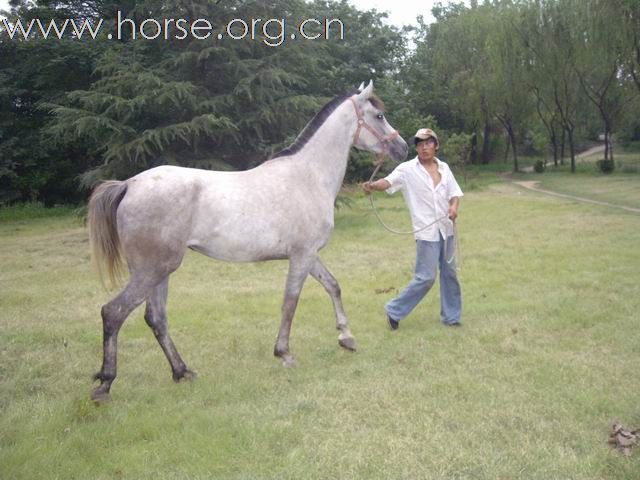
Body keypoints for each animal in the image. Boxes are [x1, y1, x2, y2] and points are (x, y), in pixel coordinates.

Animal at [87, 82, 408, 402]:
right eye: (379, 115)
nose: (402, 147)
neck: (308, 176)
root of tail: (129, 185)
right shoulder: (302, 256)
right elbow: (290, 302)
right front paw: (284, 354)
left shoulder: (310, 255)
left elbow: (333, 286)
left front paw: (346, 337)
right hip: (151, 270)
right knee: (113, 313)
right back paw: (105, 384)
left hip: (159, 272)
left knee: (156, 318)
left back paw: (182, 372)